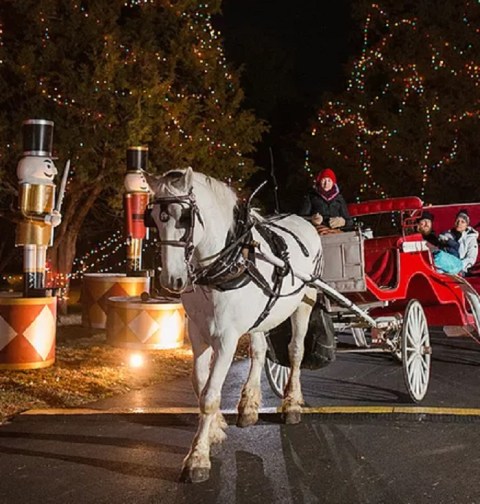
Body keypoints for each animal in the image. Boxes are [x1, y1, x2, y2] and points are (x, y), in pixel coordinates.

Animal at [146, 167, 324, 482]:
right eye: (153, 218)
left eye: (184, 217)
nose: (172, 280)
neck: (224, 264)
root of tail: (304, 220)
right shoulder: (197, 332)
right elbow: (199, 383)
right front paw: (216, 428)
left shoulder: (226, 339)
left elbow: (209, 394)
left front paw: (198, 458)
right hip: (261, 316)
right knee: (259, 351)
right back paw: (249, 406)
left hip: (305, 301)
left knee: (295, 351)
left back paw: (291, 403)